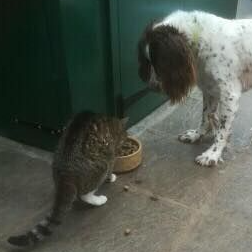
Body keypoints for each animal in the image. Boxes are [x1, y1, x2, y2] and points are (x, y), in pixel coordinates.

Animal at [7, 111, 128, 247]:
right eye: (125, 136)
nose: (125, 141)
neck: (111, 123)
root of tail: (65, 171)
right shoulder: (111, 153)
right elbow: (111, 167)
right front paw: (111, 177)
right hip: (100, 165)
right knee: (84, 194)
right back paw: (98, 199)